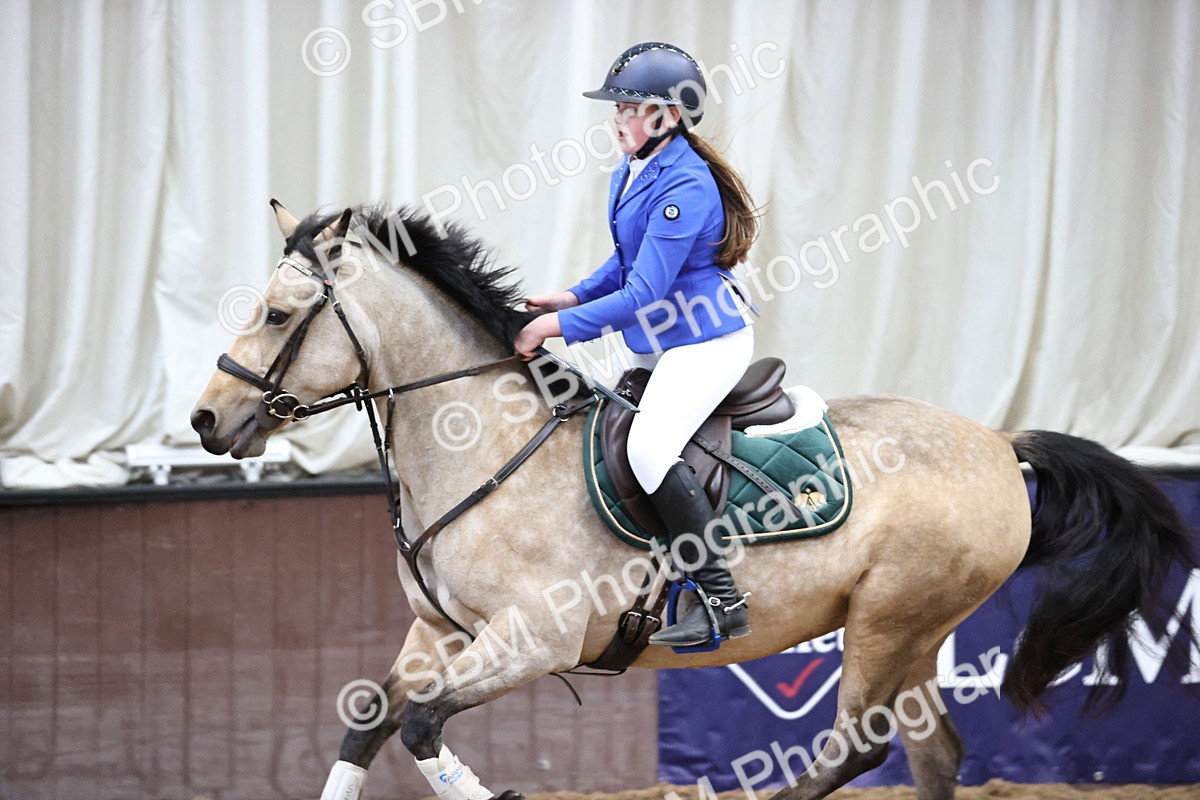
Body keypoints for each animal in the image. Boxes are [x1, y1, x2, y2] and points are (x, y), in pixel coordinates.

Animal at [190, 202, 1194, 800]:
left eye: (277, 315)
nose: (206, 419)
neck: (485, 443)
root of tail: (996, 442)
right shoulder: (439, 634)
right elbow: (372, 719)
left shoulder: (536, 638)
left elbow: (424, 726)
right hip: (912, 630)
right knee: (929, 753)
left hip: (890, 620)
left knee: (856, 748)